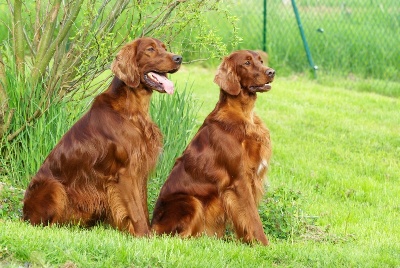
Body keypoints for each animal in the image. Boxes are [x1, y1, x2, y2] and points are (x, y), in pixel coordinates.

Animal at [22, 37, 182, 237]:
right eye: (150, 49)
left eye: (164, 48)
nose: (179, 58)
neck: (132, 111)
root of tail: (23, 213)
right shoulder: (126, 172)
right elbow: (136, 211)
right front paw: (144, 236)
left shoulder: (140, 170)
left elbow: (143, 208)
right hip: (54, 187)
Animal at [150, 49, 276, 244]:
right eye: (246, 63)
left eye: (261, 61)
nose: (271, 72)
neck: (245, 115)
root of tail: (151, 225)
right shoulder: (239, 179)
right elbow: (253, 217)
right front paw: (264, 245)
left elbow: (246, 218)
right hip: (191, 202)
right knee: (177, 237)